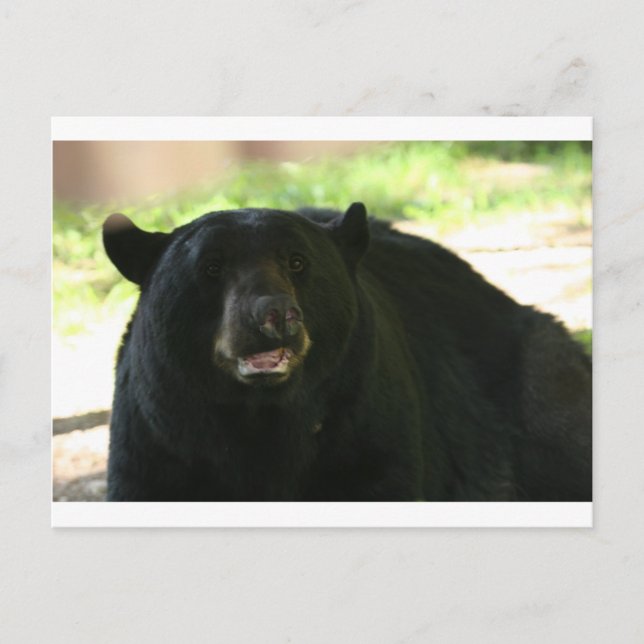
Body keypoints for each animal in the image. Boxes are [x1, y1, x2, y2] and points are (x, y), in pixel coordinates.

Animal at [102, 203, 592, 501]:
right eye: (211, 267)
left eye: (298, 261)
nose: (274, 314)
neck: (261, 414)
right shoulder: (159, 438)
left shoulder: (365, 425)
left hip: (534, 371)